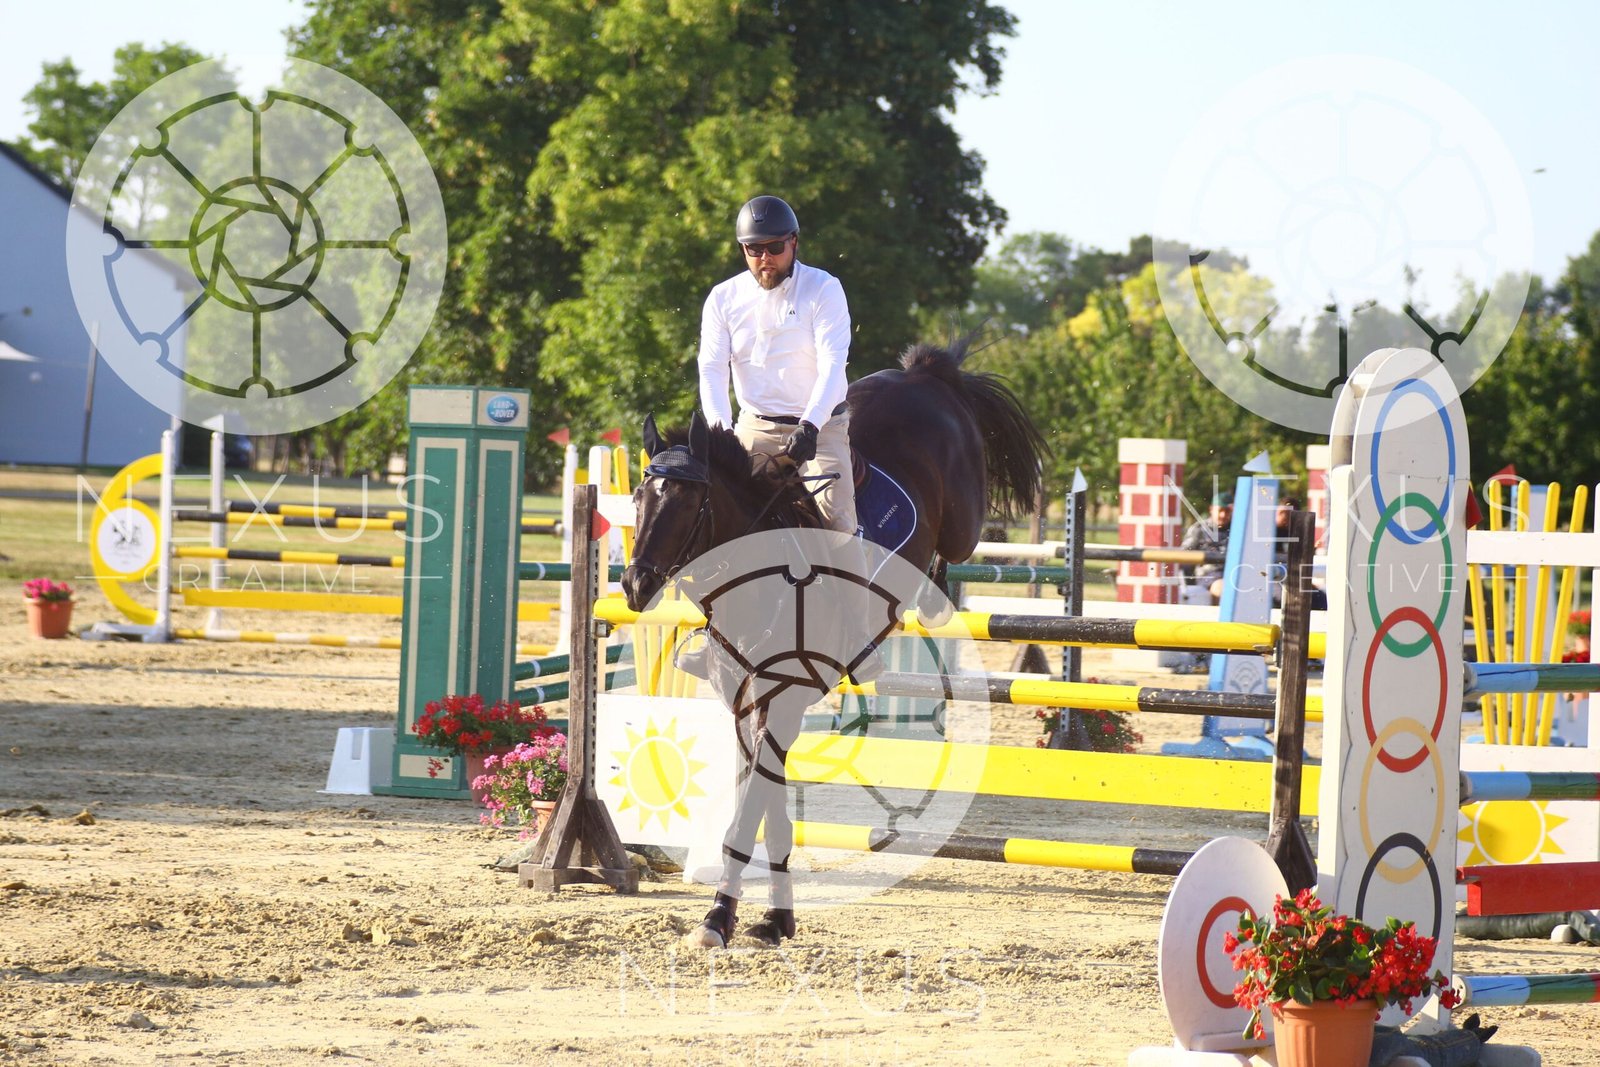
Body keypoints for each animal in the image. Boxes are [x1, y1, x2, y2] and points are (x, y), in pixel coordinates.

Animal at [621, 338, 1048, 949]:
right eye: (638, 495)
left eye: (686, 501)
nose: (635, 586)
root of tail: (922, 375)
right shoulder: (745, 707)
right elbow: (768, 809)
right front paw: (774, 919)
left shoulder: (786, 703)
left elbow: (749, 812)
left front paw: (718, 918)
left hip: (962, 518)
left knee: (957, 547)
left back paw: (935, 594)